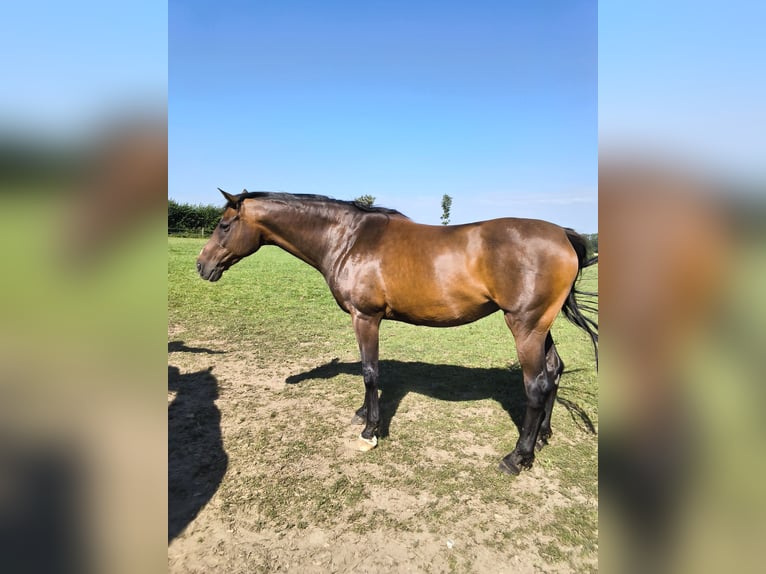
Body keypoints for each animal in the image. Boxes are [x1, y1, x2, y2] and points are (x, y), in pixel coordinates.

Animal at [196, 188, 598, 475]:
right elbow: (369, 373)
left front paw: (370, 432)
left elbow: (370, 371)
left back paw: (518, 457)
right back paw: (543, 436)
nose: (202, 266)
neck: (349, 239)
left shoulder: (365, 318)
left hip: (524, 326)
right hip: (540, 326)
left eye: (224, 225)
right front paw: (363, 413)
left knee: (537, 385)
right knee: (554, 371)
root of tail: (565, 235)